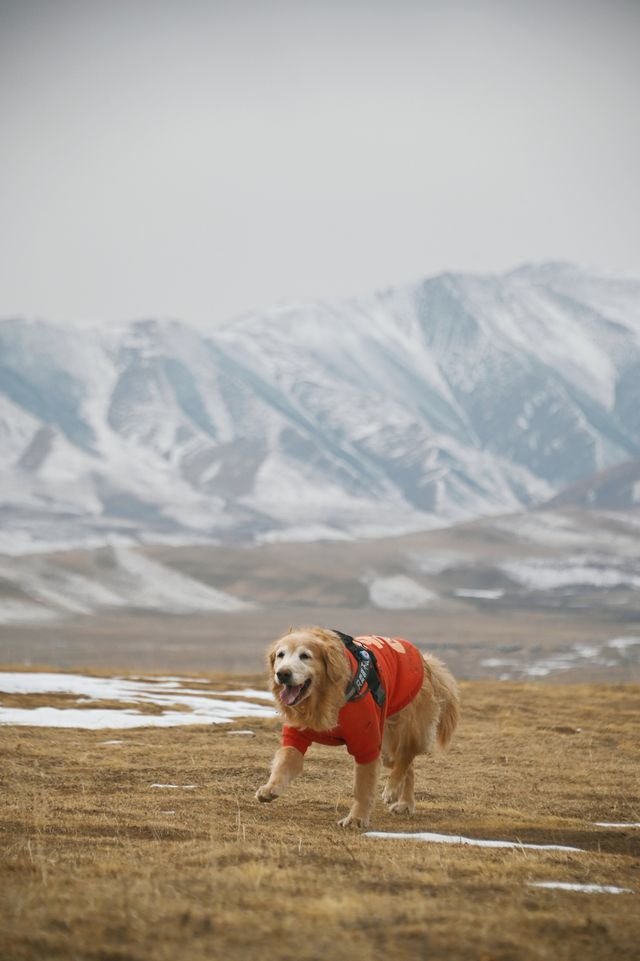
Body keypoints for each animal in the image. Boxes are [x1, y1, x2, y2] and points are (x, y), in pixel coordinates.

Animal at [255, 628, 460, 828]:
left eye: (305, 656)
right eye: (280, 655)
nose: (282, 674)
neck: (323, 700)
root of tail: (425, 662)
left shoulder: (366, 744)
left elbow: (362, 788)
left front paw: (356, 819)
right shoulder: (295, 736)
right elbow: (283, 763)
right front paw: (270, 788)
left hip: (402, 730)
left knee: (406, 757)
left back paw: (393, 789)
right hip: (385, 747)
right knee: (408, 767)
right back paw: (405, 803)